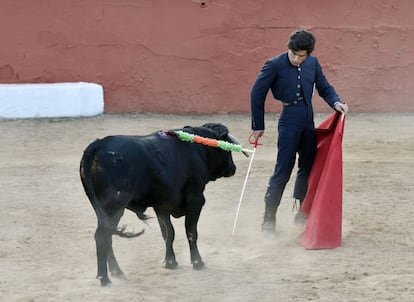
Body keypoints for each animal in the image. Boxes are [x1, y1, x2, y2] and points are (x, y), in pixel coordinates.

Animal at [79, 122, 244, 286]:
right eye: (227, 149)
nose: (233, 168)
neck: (198, 149)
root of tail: (99, 144)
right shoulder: (196, 201)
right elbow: (191, 232)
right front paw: (197, 262)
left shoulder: (161, 206)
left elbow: (168, 233)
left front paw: (170, 262)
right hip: (114, 206)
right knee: (102, 236)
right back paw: (104, 277)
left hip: (104, 210)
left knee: (108, 235)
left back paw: (116, 271)